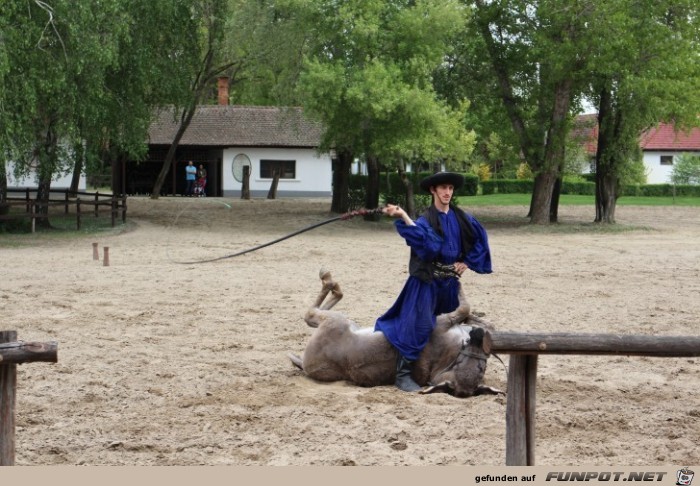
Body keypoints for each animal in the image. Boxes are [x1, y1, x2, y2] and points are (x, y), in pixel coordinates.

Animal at [290, 268, 504, 396]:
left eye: (481, 368)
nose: (478, 335)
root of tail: (306, 364)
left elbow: (469, 310)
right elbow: (476, 316)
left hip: (335, 321)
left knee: (310, 314)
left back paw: (329, 282)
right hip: (339, 320)